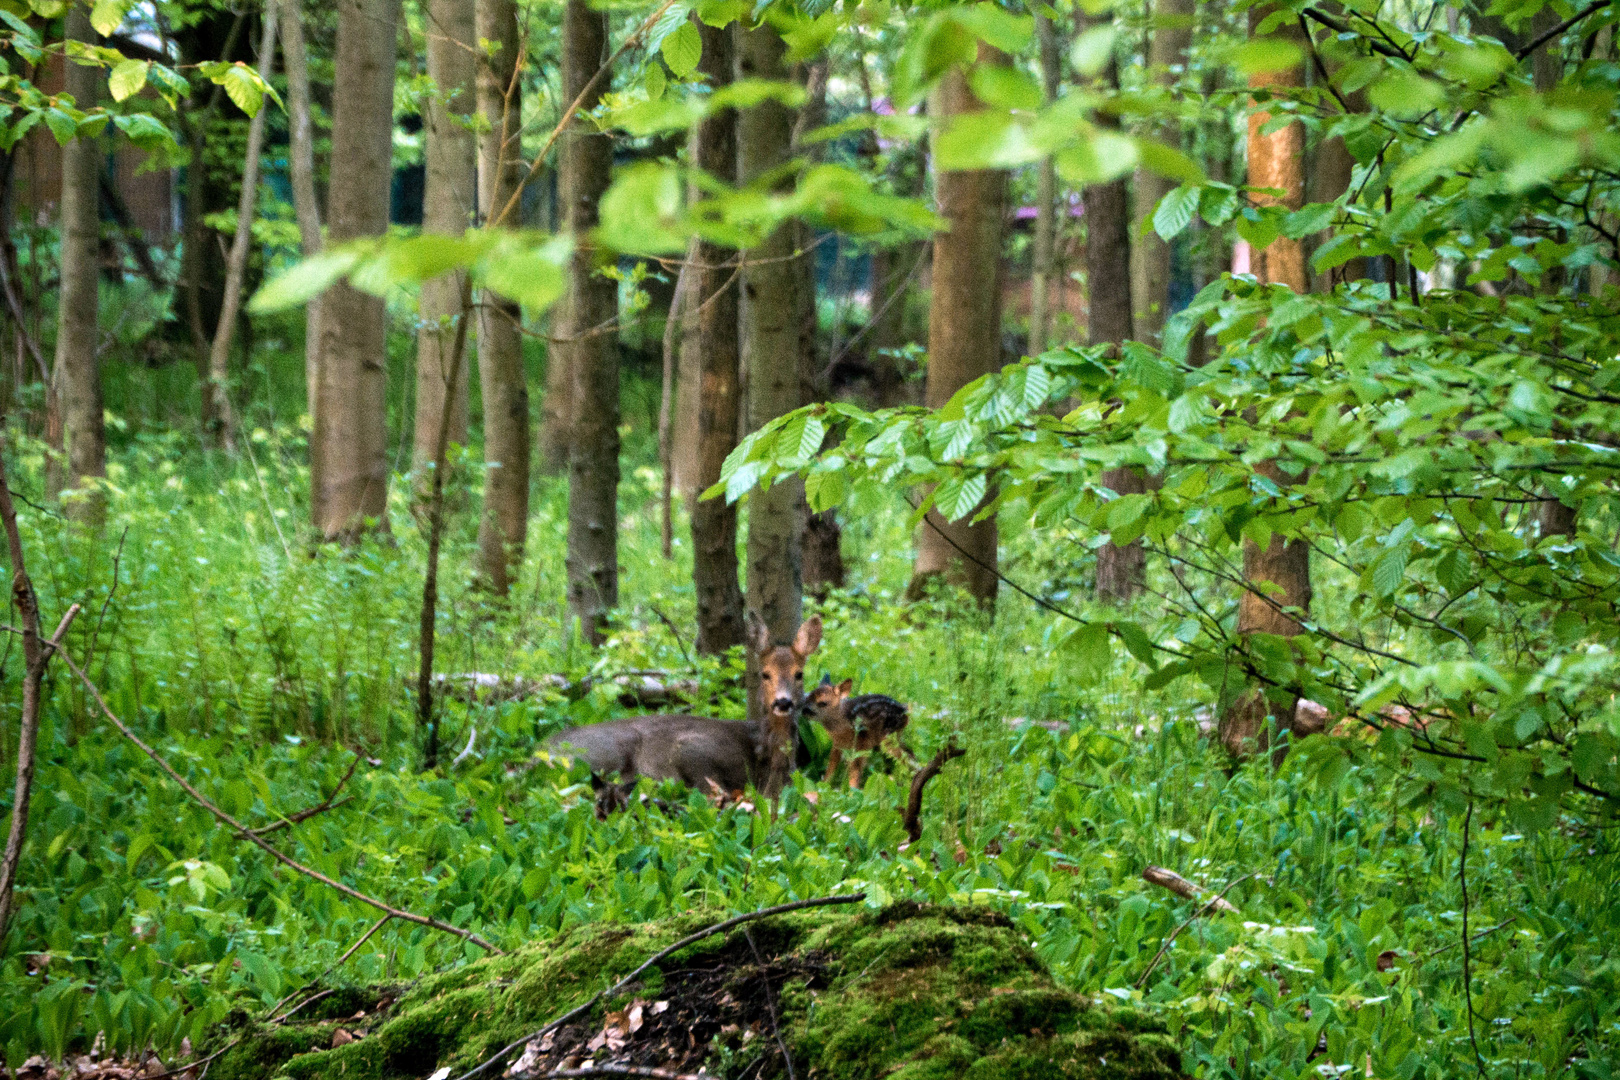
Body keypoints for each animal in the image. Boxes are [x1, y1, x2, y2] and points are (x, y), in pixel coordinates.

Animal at [547, 612, 822, 816]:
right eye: (765, 674)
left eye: (799, 674)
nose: (783, 702)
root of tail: (543, 749)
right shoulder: (691, 748)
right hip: (600, 755)